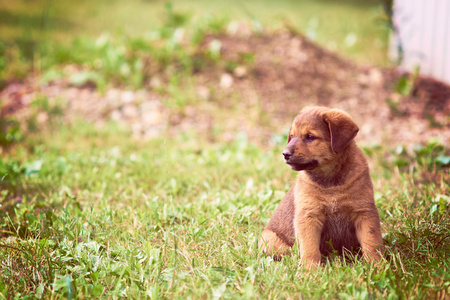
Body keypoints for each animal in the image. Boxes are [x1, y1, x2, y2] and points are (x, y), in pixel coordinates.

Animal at [260, 106, 384, 270]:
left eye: (310, 137)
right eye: (291, 136)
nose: (285, 154)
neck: (331, 184)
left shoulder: (364, 212)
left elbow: (372, 243)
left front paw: (377, 266)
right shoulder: (309, 216)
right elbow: (310, 248)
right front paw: (310, 271)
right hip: (268, 240)